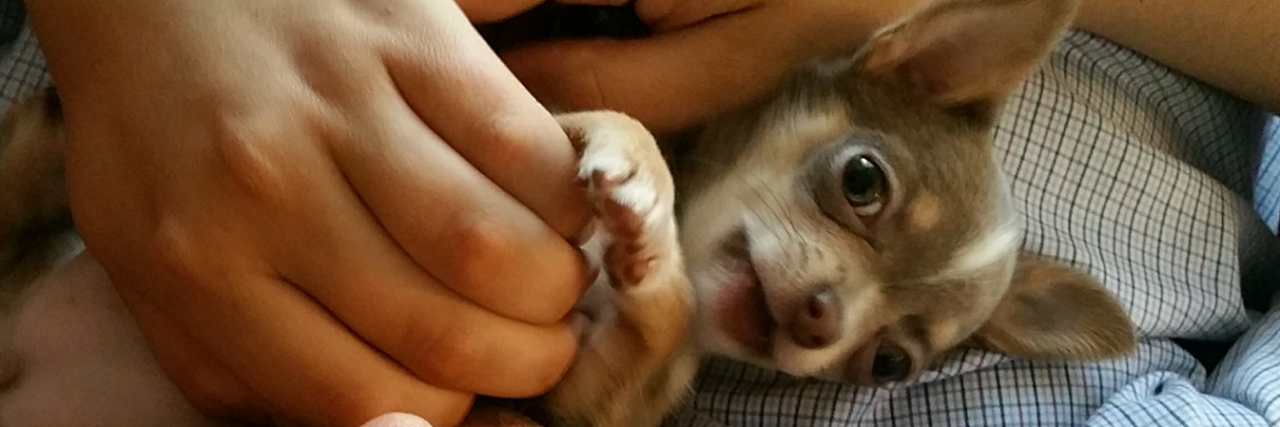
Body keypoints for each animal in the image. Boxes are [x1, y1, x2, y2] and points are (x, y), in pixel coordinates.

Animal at [2, 0, 1141, 424]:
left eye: (889, 365)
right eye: (861, 181)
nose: (819, 321)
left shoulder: (570, 397)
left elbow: (651, 333)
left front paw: (651, 258)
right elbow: (600, 115)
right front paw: (634, 158)